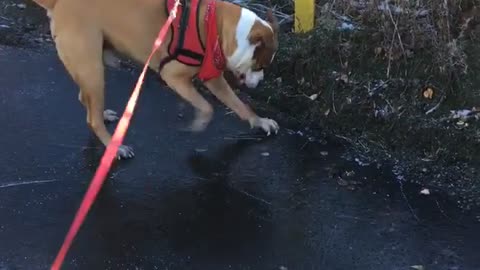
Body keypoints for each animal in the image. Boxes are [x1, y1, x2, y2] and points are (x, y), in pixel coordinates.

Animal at [31, 0, 280, 158]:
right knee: (91, 116)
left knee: (87, 101)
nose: (260, 82)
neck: (216, 26)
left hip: (91, 68)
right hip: (92, 69)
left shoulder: (214, 79)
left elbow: (239, 105)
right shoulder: (174, 77)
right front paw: (199, 124)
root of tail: (58, 4)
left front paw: (260, 121)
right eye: (260, 66)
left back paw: (103, 115)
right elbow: (207, 107)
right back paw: (114, 146)